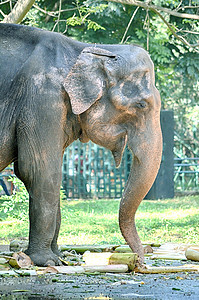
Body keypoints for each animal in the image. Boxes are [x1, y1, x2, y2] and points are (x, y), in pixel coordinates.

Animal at [0, 24, 162, 268]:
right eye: (142, 105)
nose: (141, 263)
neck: (85, 50)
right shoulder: (42, 100)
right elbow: (38, 170)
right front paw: (46, 261)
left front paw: (59, 257)